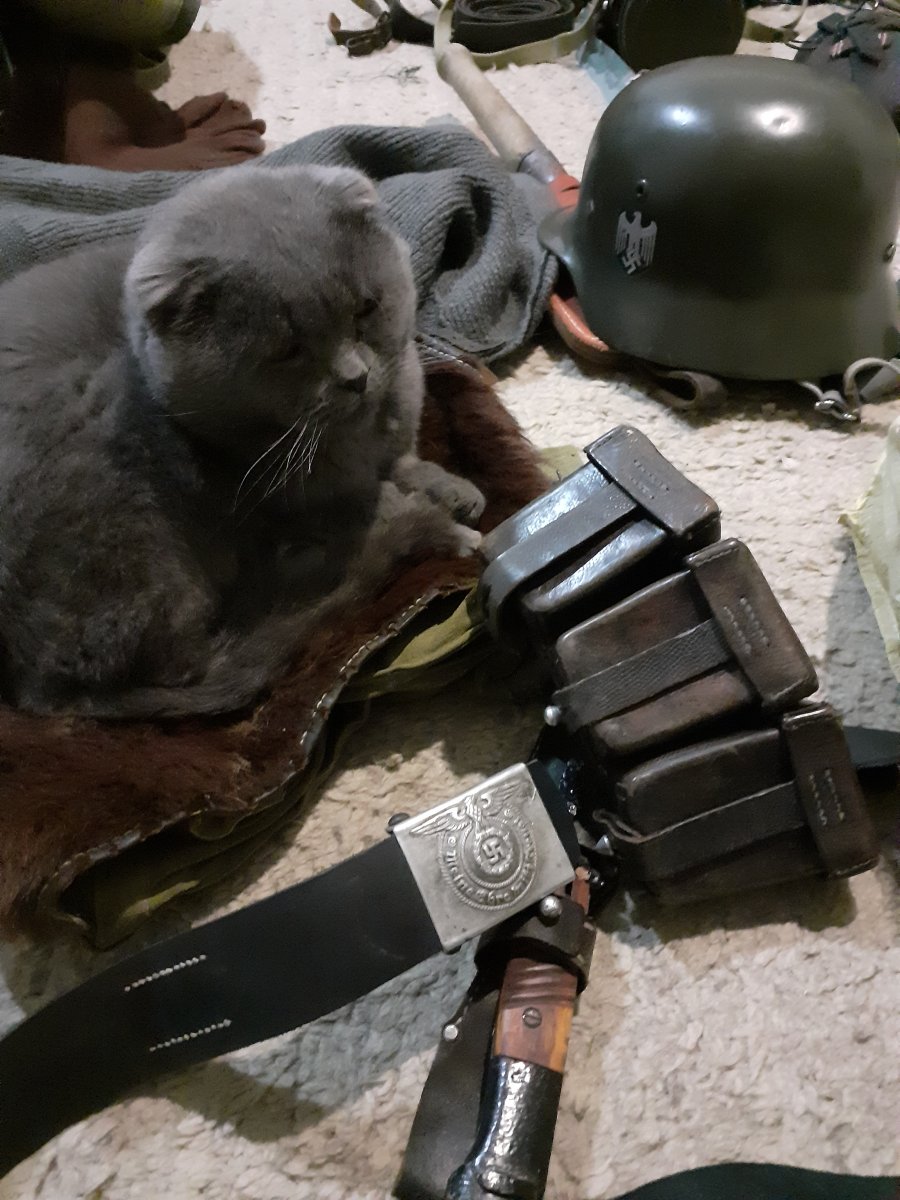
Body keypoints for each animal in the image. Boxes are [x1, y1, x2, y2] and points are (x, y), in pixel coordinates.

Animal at [0, 164, 485, 720]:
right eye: (288, 350)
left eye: (366, 309)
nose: (357, 378)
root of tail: (48, 692)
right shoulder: (280, 503)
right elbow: (363, 502)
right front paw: (437, 515)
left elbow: (404, 463)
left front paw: (452, 488)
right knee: (200, 649)